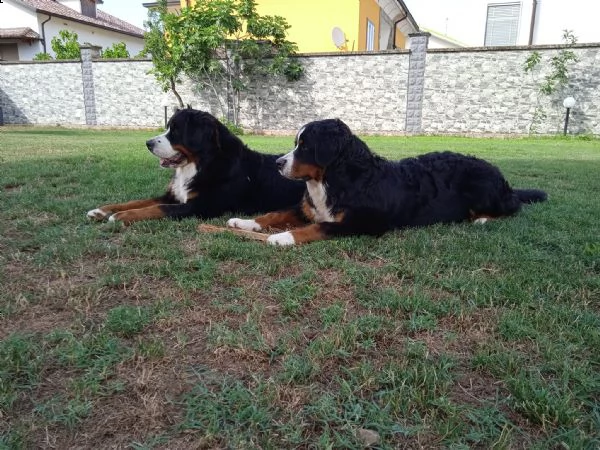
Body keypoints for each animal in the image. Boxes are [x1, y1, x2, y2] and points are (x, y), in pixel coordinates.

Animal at [85, 109, 304, 225]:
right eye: (168, 128)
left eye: (175, 131)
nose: (148, 143)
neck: (201, 164)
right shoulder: (173, 196)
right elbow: (137, 202)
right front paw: (103, 210)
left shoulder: (198, 206)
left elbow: (156, 208)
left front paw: (120, 216)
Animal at [229, 118, 548, 244]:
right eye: (296, 144)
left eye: (305, 146)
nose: (278, 163)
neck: (334, 180)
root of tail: (497, 174)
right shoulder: (308, 209)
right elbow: (275, 213)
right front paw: (245, 222)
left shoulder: (361, 223)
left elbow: (317, 227)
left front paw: (283, 237)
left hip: (481, 186)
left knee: (514, 207)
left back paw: (482, 219)